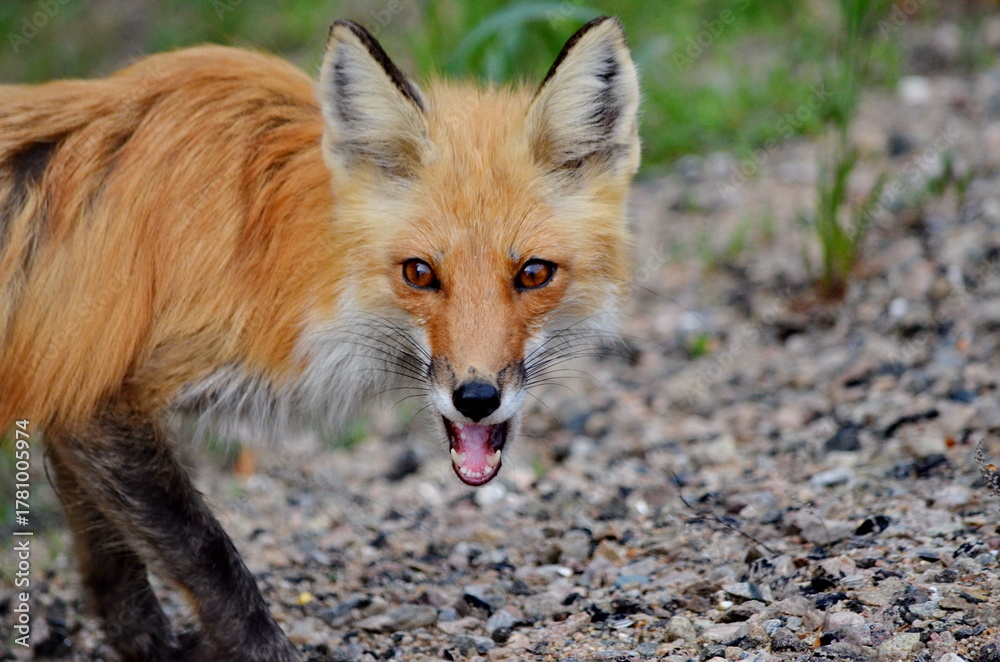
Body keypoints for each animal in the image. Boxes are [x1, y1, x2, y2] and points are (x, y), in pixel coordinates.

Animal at [0, 15, 639, 662]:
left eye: (533, 273)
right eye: (419, 273)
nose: (477, 399)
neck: (269, 257)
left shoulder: (65, 378)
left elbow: (110, 564)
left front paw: (148, 647)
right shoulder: (94, 393)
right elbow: (204, 551)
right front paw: (259, 649)